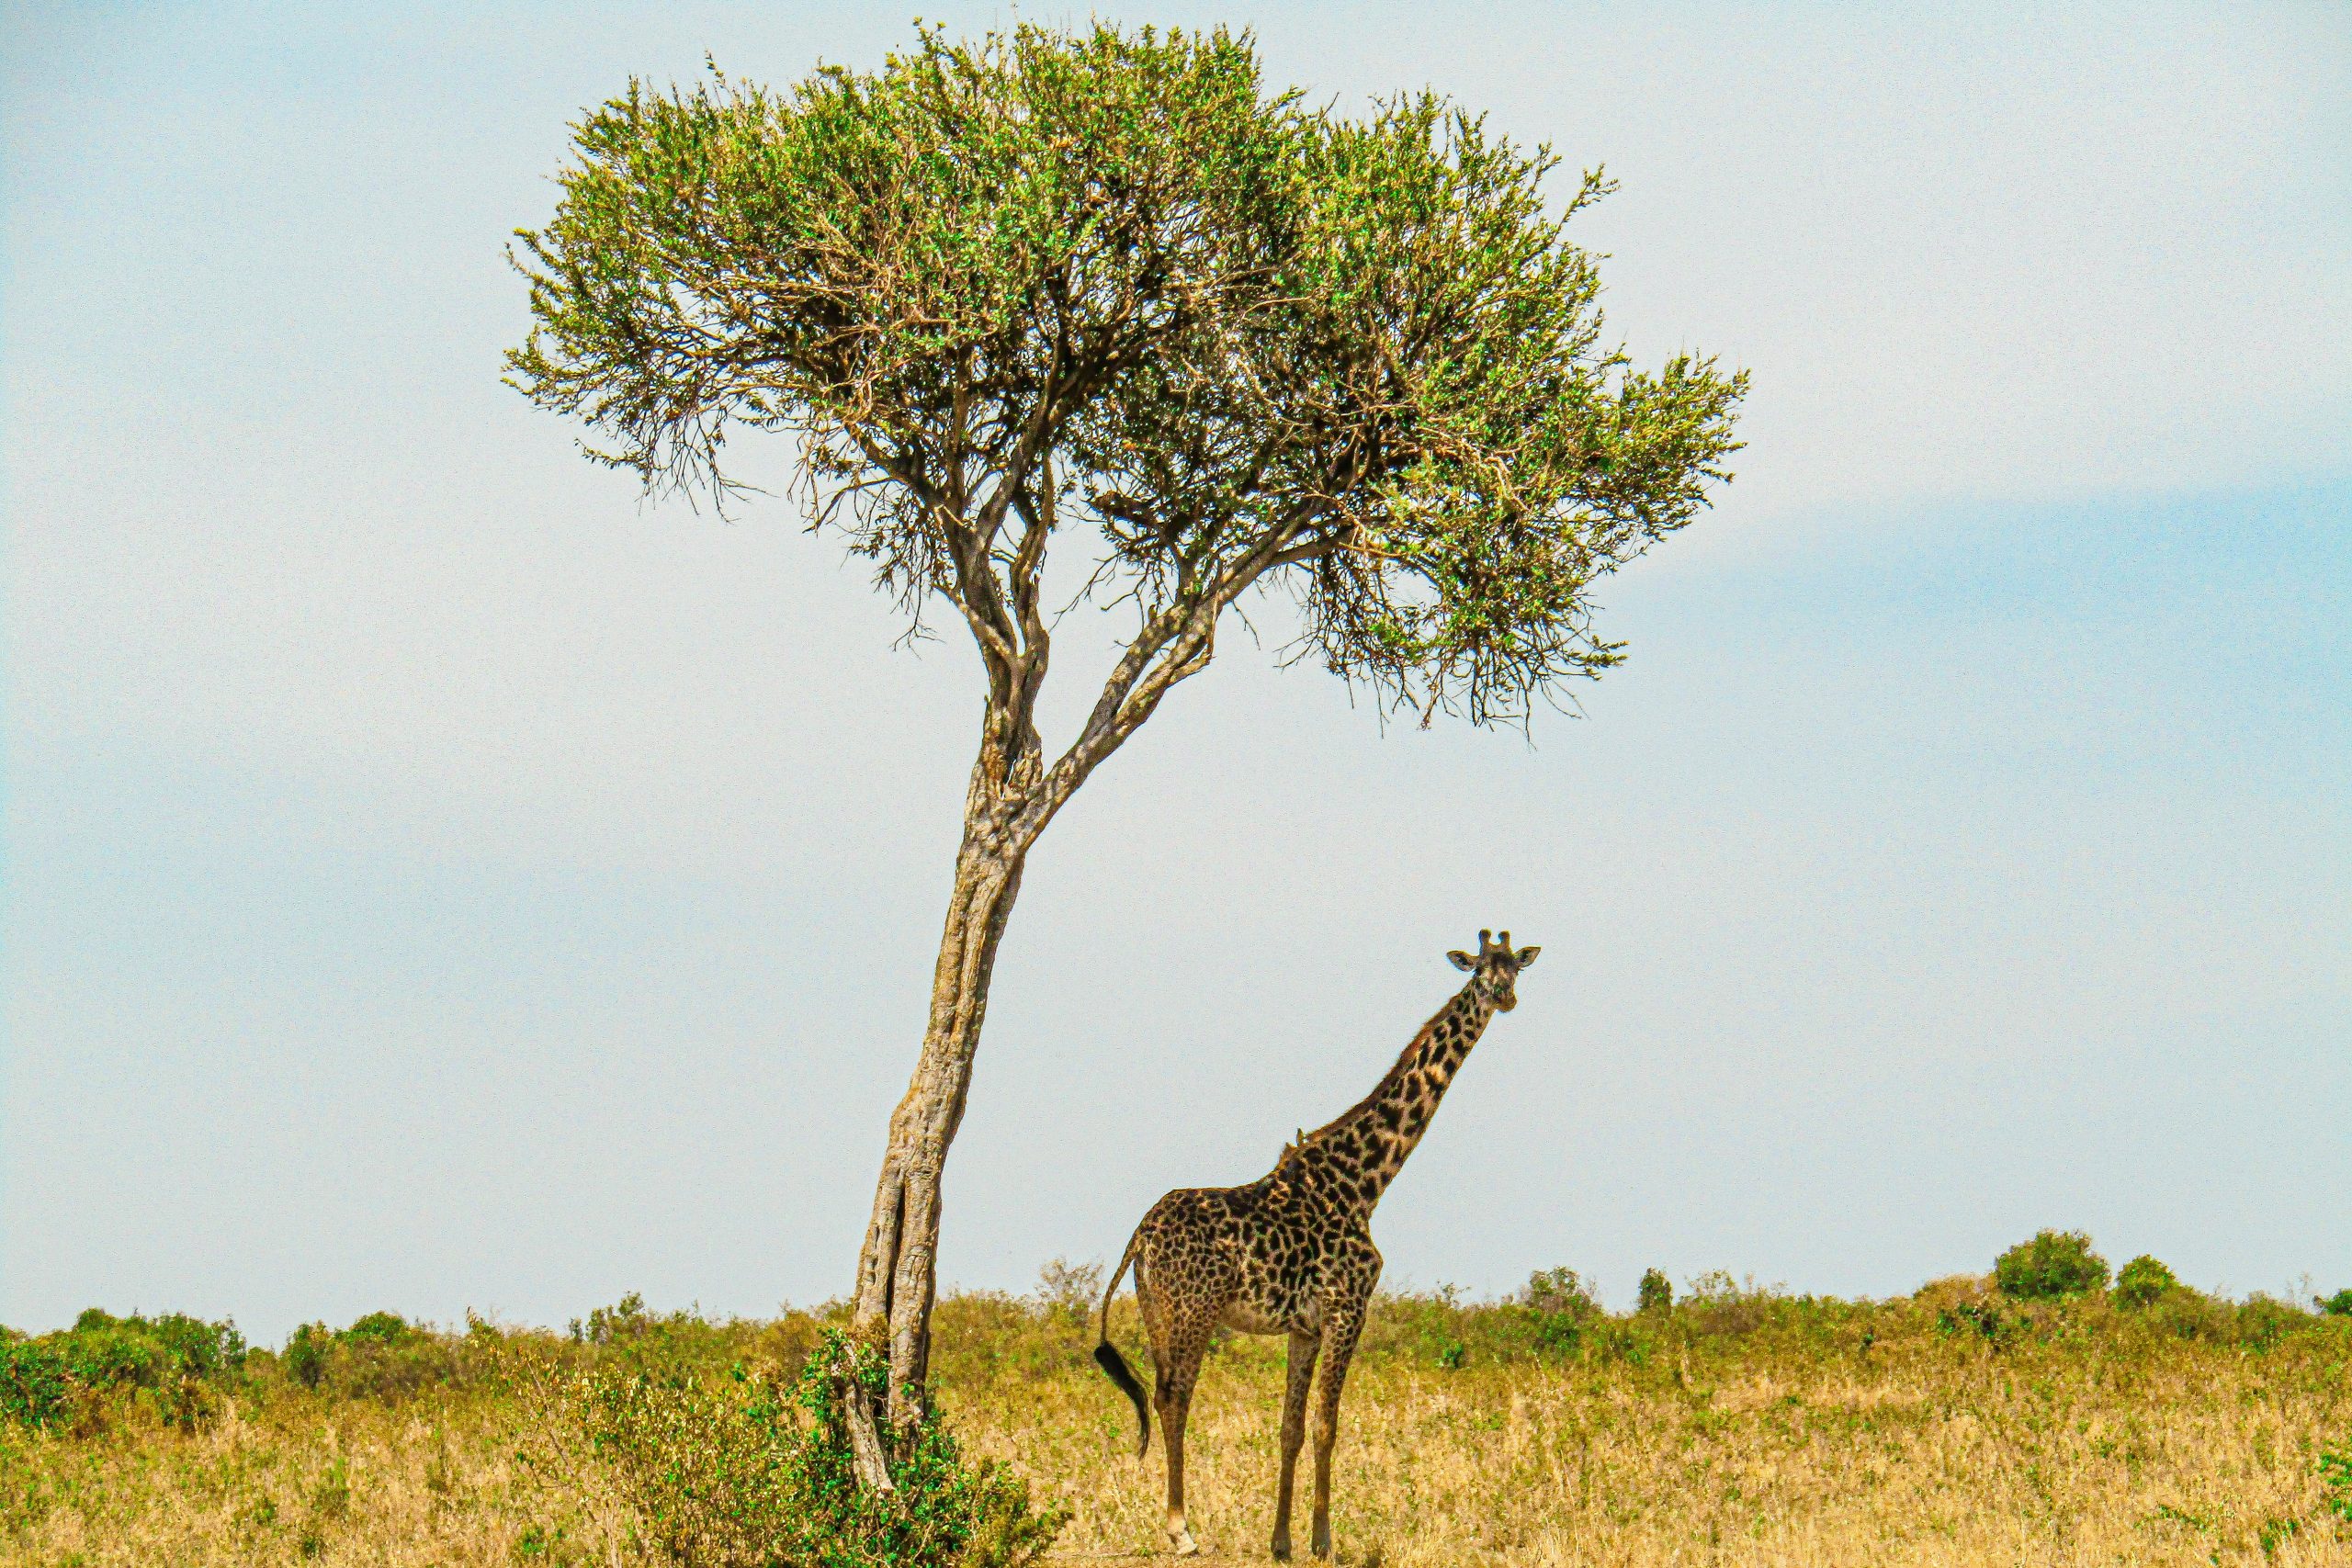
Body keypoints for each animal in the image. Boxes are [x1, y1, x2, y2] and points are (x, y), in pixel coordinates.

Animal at [1086, 931, 1533, 1561]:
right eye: (1479, 971)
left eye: (1515, 967)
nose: (1505, 997)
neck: (1367, 1182)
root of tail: (1138, 1237)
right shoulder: (1348, 1308)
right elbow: (1328, 1424)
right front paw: (1323, 1540)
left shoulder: (1303, 1327)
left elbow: (1290, 1428)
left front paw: (1280, 1541)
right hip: (1193, 1312)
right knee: (1175, 1398)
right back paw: (1181, 1530)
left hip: (1155, 1313)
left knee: (1159, 1394)